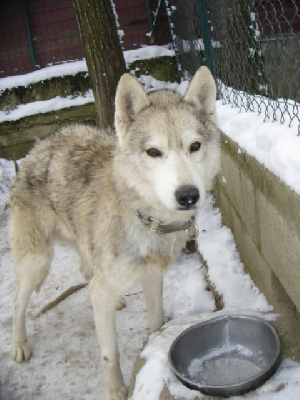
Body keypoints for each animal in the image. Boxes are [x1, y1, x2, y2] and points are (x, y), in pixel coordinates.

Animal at [9, 67, 220, 398]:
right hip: (37, 262)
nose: (188, 196)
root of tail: (37, 148)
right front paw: (117, 391)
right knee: (18, 304)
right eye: (153, 151)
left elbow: (156, 324)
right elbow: (110, 354)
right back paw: (19, 345)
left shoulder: (152, 277)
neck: (144, 217)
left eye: (195, 146)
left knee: (86, 271)